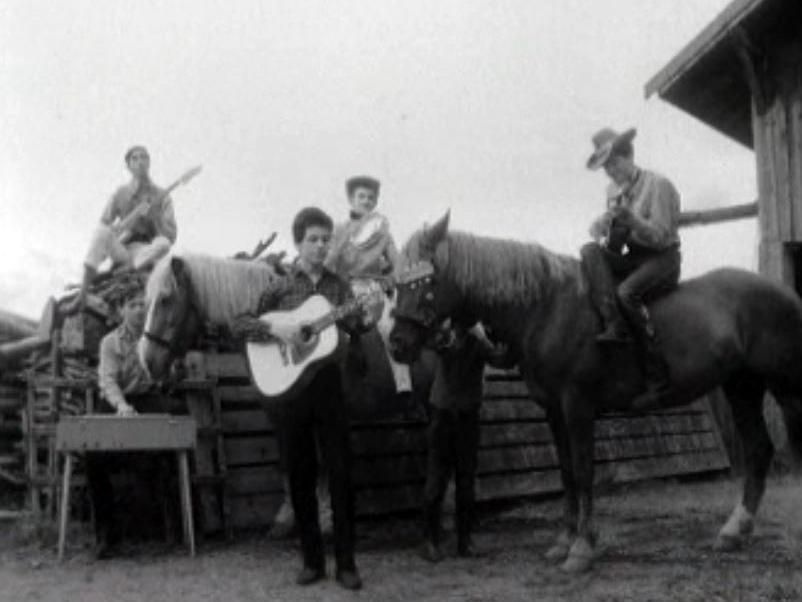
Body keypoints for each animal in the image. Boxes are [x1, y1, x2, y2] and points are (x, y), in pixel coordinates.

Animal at [388, 212, 800, 572]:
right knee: (759, 449)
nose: (397, 344)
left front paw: (582, 548)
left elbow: (585, 471)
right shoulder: (554, 411)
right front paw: (565, 541)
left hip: (784, 386)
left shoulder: (577, 406)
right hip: (741, 385)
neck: (545, 307)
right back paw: (734, 531)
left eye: (425, 283)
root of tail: (786, 294)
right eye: (398, 283)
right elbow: (568, 473)